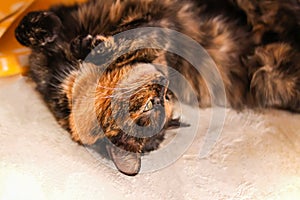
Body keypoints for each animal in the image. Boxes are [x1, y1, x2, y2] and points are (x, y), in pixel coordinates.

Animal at [14, 0, 300, 175]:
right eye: (151, 106)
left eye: (167, 98)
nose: (165, 87)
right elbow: (23, 29)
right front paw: (48, 31)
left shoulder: (161, 27)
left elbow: (132, 35)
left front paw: (85, 45)